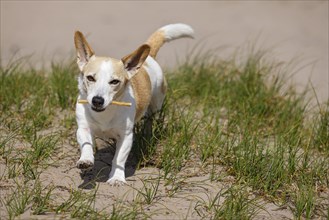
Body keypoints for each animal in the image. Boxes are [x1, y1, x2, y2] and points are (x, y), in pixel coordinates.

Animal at [73, 23, 193, 185]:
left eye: (114, 82)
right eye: (90, 78)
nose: (97, 100)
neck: (106, 113)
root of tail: (149, 57)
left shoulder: (126, 136)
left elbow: (118, 158)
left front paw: (116, 178)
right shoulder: (83, 128)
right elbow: (86, 145)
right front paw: (86, 160)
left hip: (156, 104)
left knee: (150, 119)